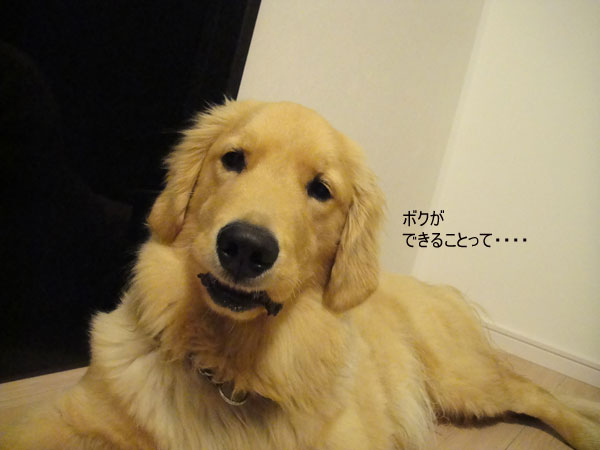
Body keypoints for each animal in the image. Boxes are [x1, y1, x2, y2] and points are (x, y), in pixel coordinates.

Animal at [3, 100, 599, 449]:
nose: (245, 248)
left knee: (537, 394)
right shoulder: (66, 417)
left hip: (463, 379)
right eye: (233, 159)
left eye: (320, 189)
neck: (231, 371)